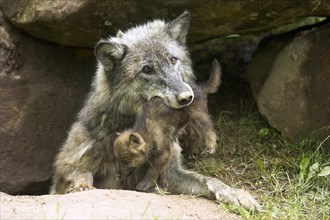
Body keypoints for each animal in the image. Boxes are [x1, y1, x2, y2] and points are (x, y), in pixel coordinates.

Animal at [51, 10, 260, 211]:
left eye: (173, 60)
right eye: (147, 69)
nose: (187, 97)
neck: (134, 125)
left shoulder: (169, 170)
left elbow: (208, 179)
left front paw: (236, 194)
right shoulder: (65, 167)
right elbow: (82, 172)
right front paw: (82, 186)